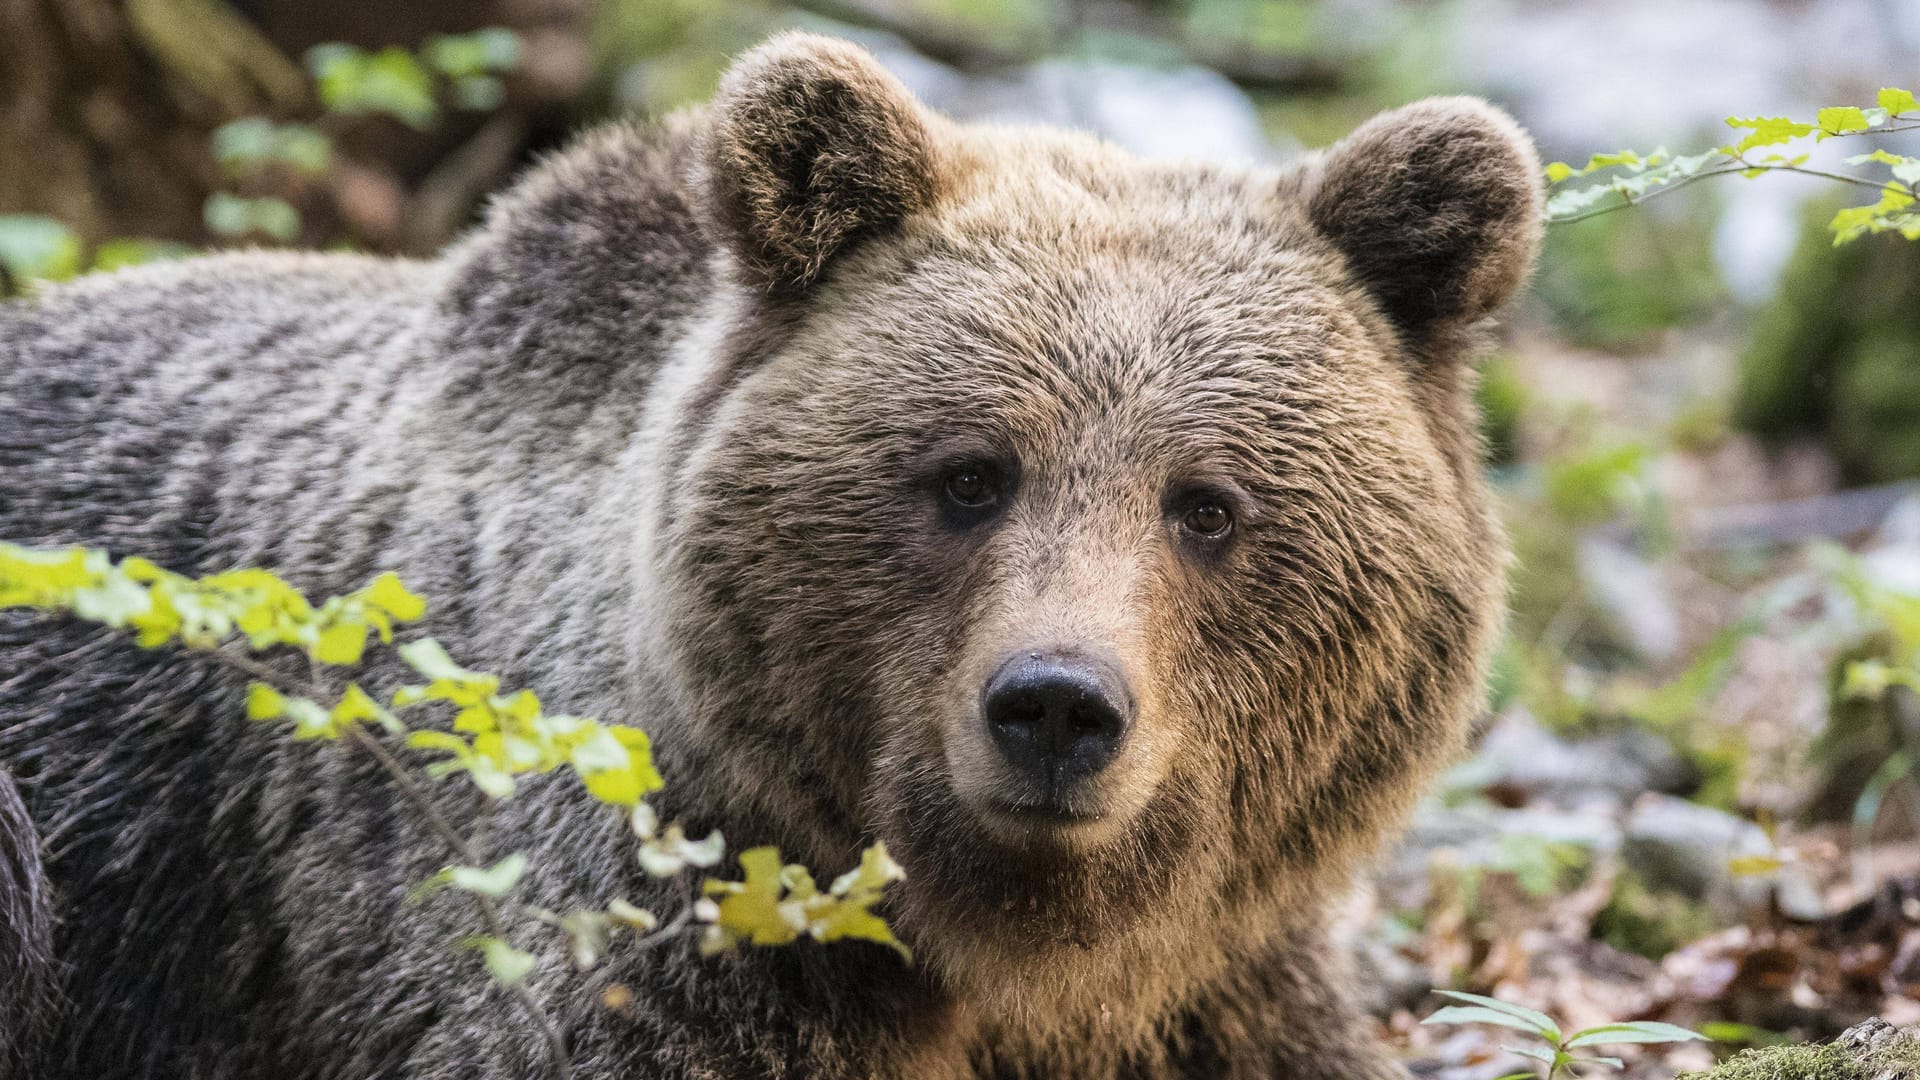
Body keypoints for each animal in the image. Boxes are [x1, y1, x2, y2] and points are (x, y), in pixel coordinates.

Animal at [0, 29, 1536, 1076]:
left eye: (1206, 504)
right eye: (970, 475)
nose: (1055, 706)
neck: (1004, 947)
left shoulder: (1217, 993)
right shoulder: (657, 926)